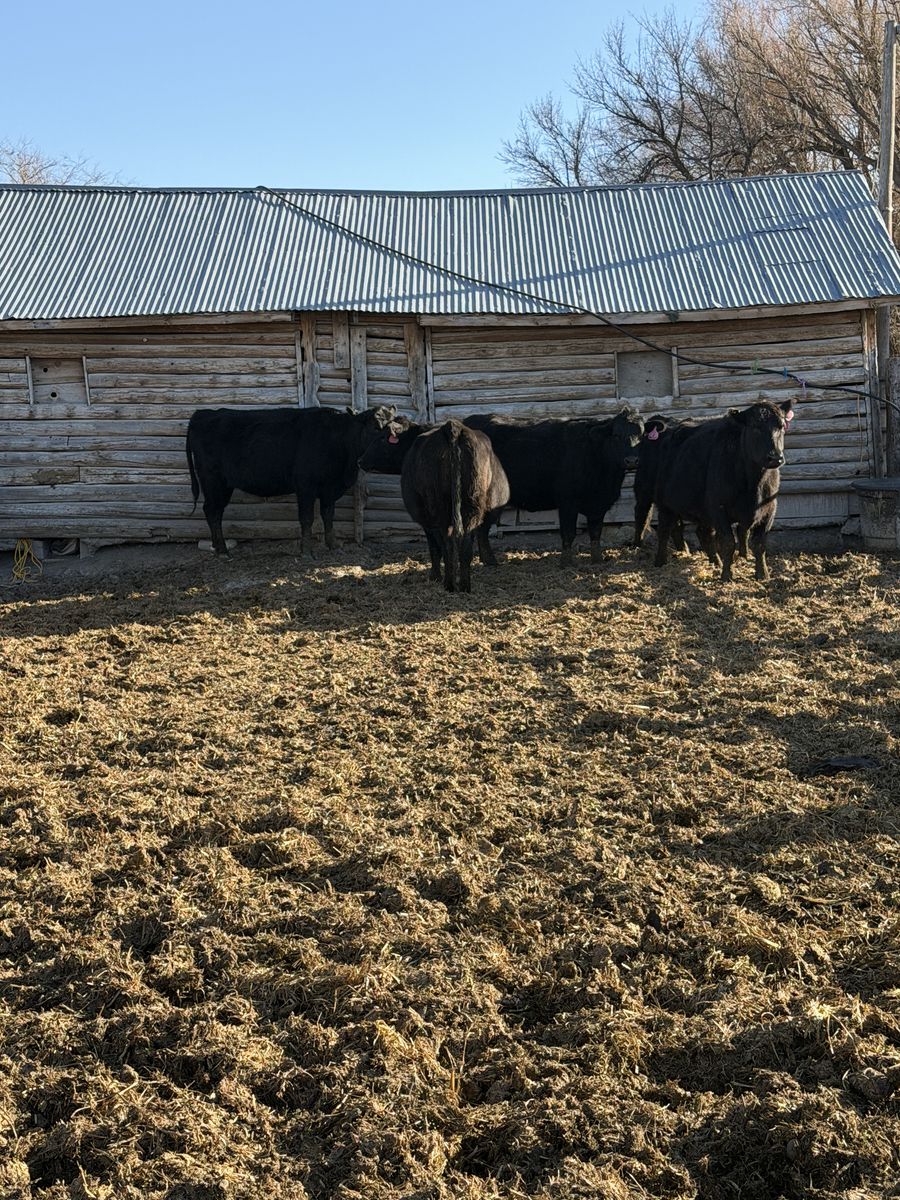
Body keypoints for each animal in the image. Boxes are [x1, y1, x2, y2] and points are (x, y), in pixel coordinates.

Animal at [186, 404, 398, 556]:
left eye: (395, 426)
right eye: (375, 427)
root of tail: (202, 414)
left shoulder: (329, 489)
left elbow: (328, 516)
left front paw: (332, 545)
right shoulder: (306, 485)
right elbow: (307, 518)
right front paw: (307, 552)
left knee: (214, 512)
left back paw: (217, 548)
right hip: (213, 481)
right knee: (212, 511)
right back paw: (222, 551)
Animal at [359, 418, 509, 592]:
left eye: (382, 438)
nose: (360, 461)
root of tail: (453, 427)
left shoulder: (425, 521)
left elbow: (434, 548)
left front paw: (435, 576)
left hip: (439, 511)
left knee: (447, 546)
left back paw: (449, 584)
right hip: (472, 509)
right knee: (466, 545)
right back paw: (465, 586)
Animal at [463, 408, 644, 566]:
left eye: (641, 436)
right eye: (616, 436)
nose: (632, 460)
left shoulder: (599, 504)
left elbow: (595, 533)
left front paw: (597, 560)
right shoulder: (567, 502)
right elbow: (568, 533)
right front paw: (566, 562)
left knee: (481, 529)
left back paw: (489, 561)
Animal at [653, 399, 793, 581]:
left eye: (782, 426)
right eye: (755, 427)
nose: (775, 457)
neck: (753, 484)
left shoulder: (769, 510)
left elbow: (758, 543)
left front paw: (762, 573)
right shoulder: (719, 509)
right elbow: (728, 542)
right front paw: (727, 574)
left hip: (703, 510)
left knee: (704, 533)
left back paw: (716, 562)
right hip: (664, 504)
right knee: (664, 530)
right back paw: (660, 561)